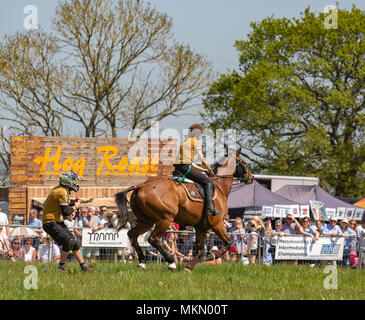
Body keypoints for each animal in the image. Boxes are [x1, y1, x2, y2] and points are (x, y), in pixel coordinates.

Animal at [114, 149, 253, 272]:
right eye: (244, 163)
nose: (251, 177)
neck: (220, 187)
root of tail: (140, 187)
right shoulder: (217, 224)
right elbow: (228, 243)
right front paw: (213, 254)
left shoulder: (200, 227)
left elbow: (200, 249)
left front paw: (189, 267)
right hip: (164, 219)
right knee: (153, 239)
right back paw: (171, 262)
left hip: (146, 221)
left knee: (132, 234)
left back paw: (142, 262)